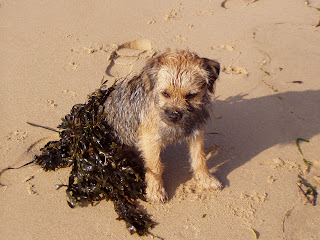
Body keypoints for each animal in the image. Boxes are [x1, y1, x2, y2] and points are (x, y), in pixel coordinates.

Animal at [104, 49, 221, 202]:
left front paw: (206, 180)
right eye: (165, 93)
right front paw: (155, 191)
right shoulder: (150, 139)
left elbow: (199, 158)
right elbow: (155, 167)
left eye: (191, 95)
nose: (174, 115)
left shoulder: (196, 132)